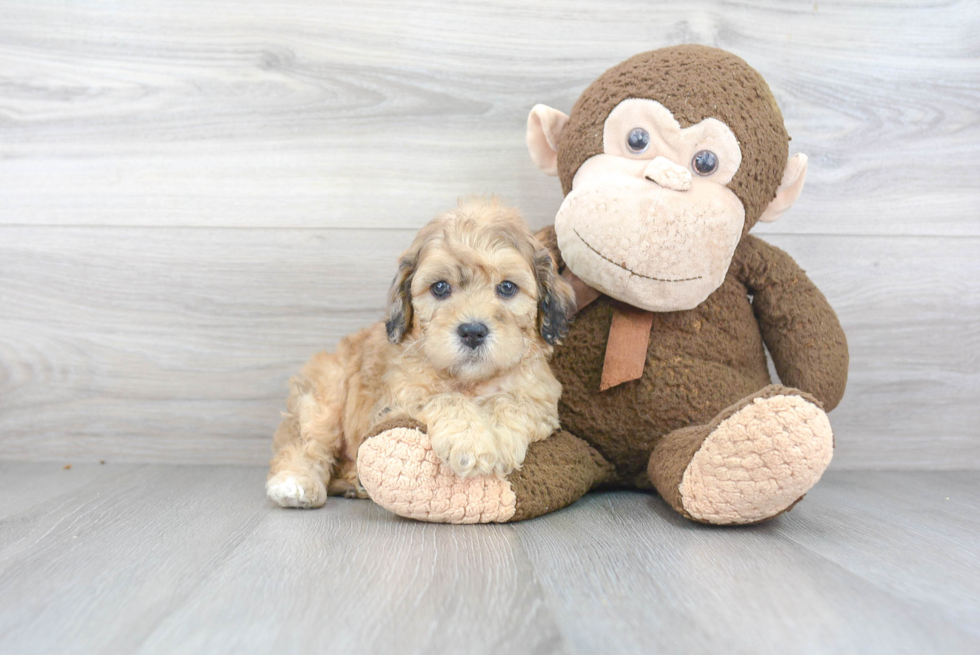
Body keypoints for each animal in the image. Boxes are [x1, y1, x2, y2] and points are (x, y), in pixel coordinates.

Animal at [264, 197, 580, 510]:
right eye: (440, 287)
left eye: (507, 287)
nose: (473, 331)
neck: (471, 381)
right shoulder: (397, 401)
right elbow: (446, 398)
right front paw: (470, 441)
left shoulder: (539, 398)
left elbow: (511, 401)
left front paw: (498, 437)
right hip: (324, 394)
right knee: (306, 440)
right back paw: (296, 483)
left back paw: (355, 484)